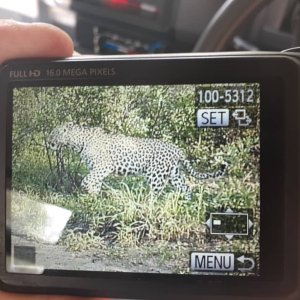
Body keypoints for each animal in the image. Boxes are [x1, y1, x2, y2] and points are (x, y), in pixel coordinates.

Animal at [47, 122, 227, 199]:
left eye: (53, 133)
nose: (48, 142)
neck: (77, 142)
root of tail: (177, 149)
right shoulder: (98, 169)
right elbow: (94, 182)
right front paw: (94, 197)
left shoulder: (103, 166)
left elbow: (86, 180)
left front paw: (90, 192)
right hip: (175, 174)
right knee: (186, 188)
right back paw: (186, 204)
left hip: (156, 175)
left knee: (157, 193)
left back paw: (149, 206)